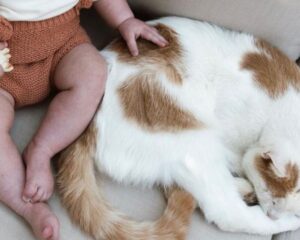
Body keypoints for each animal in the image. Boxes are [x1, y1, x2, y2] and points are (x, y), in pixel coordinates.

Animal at [55, 15, 300, 239]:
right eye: (274, 200)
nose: (273, 215)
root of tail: (86, 126)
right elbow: (237, 158)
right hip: (191, 138)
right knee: (225, 209)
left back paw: (245, 189)